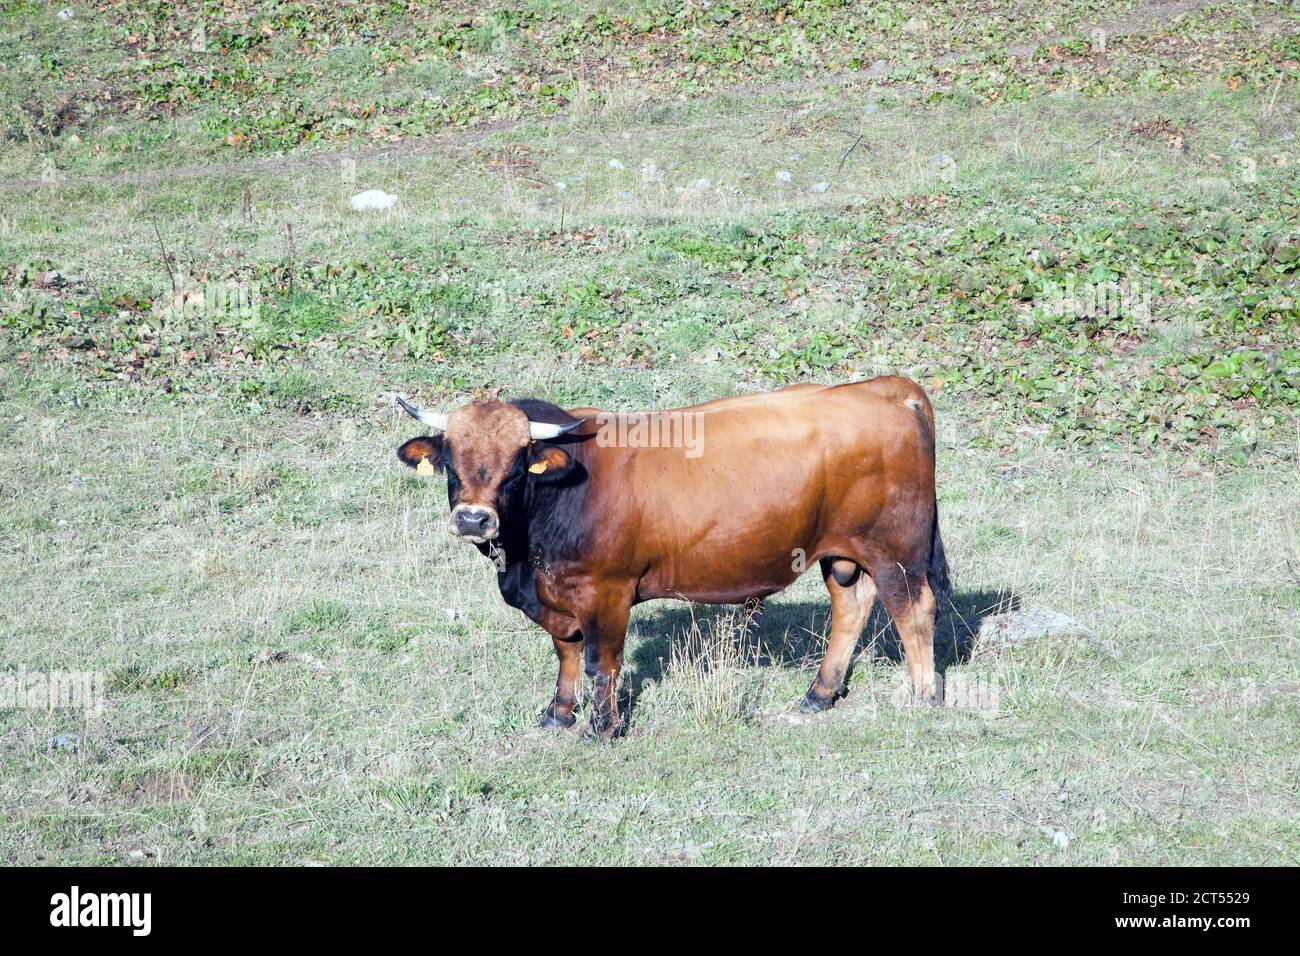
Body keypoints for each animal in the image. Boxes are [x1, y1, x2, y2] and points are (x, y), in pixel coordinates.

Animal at [390, 377, 951, 738]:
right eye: (451, 463)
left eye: (514, 467)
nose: (473, 519)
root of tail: (887, 388)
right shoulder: (556, 596)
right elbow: (566, 652)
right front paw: (558, 714)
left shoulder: (605, 591)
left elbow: (600, 662)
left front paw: (602, 728)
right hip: (840, 553)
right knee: (851, 607)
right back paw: (818, 694)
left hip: (895, 551)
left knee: (914, 610)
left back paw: (923, 697)